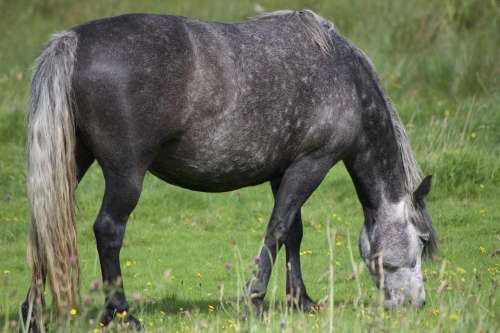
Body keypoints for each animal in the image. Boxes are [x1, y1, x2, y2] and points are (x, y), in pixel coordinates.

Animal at [21, 9, 436, 330]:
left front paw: (300, 300)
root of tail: (72, 41)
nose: (417, 304)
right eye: (421, 242)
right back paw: (122, 314)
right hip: (125, 175)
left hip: (73, 162)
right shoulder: (311, 164)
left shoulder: (283, 171)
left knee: (44, 228)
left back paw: (32, 312)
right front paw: (254, 299)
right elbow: (278, 229)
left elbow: (294, 233)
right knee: (108, 231)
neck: (341, 73)